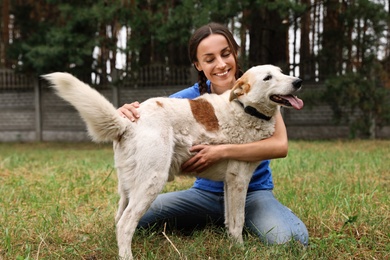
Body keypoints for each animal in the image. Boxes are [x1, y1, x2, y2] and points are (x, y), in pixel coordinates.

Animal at [43, 64, 304, 258]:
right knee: (125, 224)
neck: (245, 108)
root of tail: (127, 123)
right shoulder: (239, 179)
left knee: (118, 220)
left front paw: (233, 247)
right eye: (268, 77)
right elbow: (238, 221)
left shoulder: (230, 182)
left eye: (282, 72)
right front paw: (240, 250)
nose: (298, 81)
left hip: (128, 187)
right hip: (152, 181)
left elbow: (230, 220)